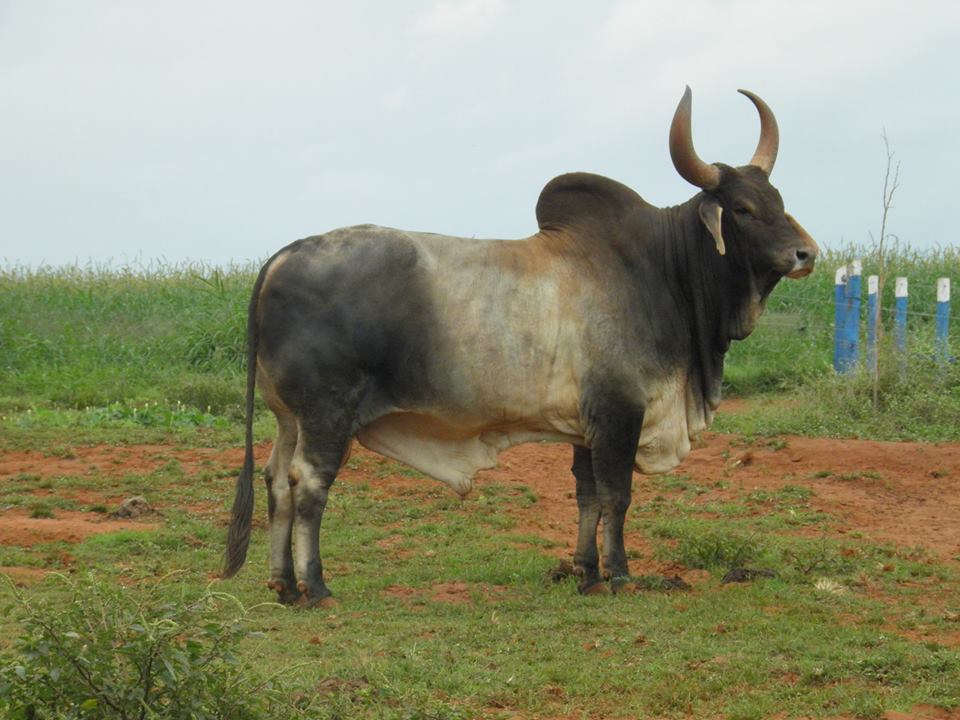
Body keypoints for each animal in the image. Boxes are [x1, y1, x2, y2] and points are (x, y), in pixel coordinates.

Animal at [223, 86, 816, 600]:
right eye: (741, 208)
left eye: (778, 198)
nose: (806, 253)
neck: (662, 269)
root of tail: (283, 255)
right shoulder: (620, 412)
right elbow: (617, 496)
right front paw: (621, 575)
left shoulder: (587, 426)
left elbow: (588, 496)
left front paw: (587, 573)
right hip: (327, 414)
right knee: (308, 483)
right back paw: (316, 586)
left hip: (289, 418)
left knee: (277, 481)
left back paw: (283, 585)